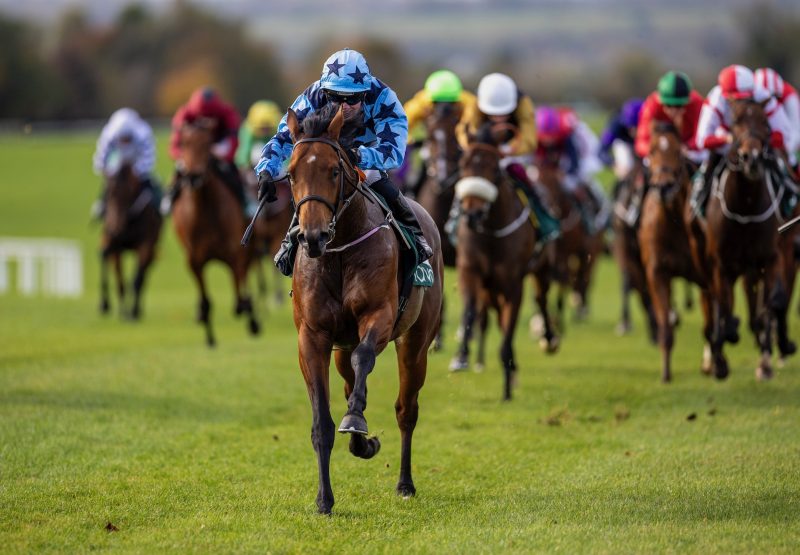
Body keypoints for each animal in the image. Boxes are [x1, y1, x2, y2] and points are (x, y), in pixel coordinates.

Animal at [99, 163, 162, 320]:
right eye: (107, 194)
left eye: (128, 193)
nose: (115, 228)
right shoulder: (114, 244)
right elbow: (119, 278)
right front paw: (113, 307)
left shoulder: (146, 244)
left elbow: (137, 279)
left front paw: (133, 312)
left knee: (142, 276)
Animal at [171, 121, 260, 348]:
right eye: (184, 143)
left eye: (207, 143)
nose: (194, 177)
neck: (204, 211)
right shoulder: (194, 261)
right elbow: (206, 302)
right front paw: (209, 337)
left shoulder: (235, 253)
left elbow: (239, 293)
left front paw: (246, 311)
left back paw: (253, 320)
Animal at [282, 105, 444, 516]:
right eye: (291, 173)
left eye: (333, 171)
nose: (312, 237)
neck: (339, 252)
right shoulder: (313, 338)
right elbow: (322, 423)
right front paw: (324, 499)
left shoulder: (380, 317)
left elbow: (366, 356)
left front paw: (356, 419)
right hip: (340, 348)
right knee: (348, 380)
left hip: (416, 343)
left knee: (406, 409)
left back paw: (404, 482)